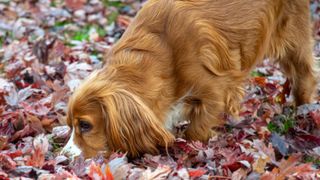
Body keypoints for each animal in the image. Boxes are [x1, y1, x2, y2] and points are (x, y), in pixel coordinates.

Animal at [60, 0, 318, 158]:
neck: (163, 54)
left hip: (293, 35)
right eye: (70, 125)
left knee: (306, 75)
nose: (63, 158)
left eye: (85, 125)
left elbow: (196, 130)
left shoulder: (215, 91)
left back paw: (302, 111)